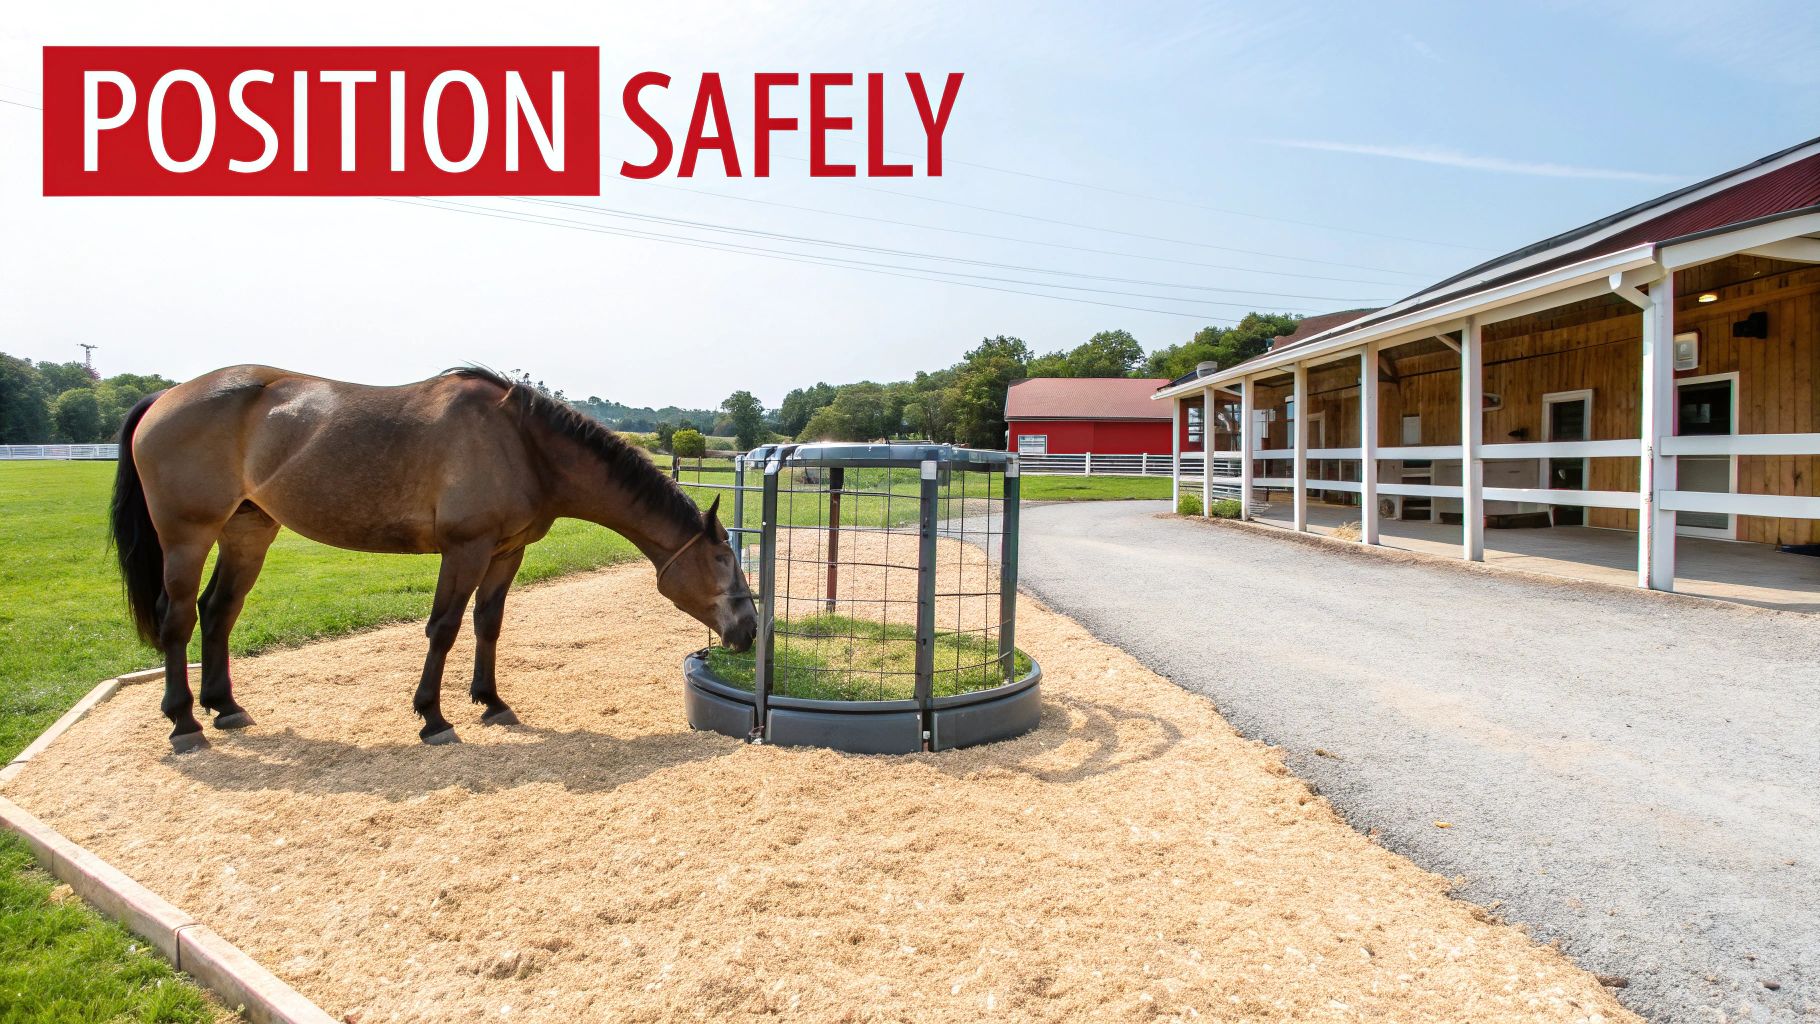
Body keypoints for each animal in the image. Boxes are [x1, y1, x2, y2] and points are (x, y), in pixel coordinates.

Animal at [110, 365, 757, 752]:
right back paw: (185, 723)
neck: (522, 443)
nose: (749, 629)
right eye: (724, 560)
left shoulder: (505, 552)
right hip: (187, 536)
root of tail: (165, 396)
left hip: (248, 530)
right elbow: (443, 627)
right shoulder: (464, 549)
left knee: (219, 612)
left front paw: (491, 703)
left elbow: (488, 624)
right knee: (178, 619)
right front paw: (433, 717)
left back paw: (225, 708)